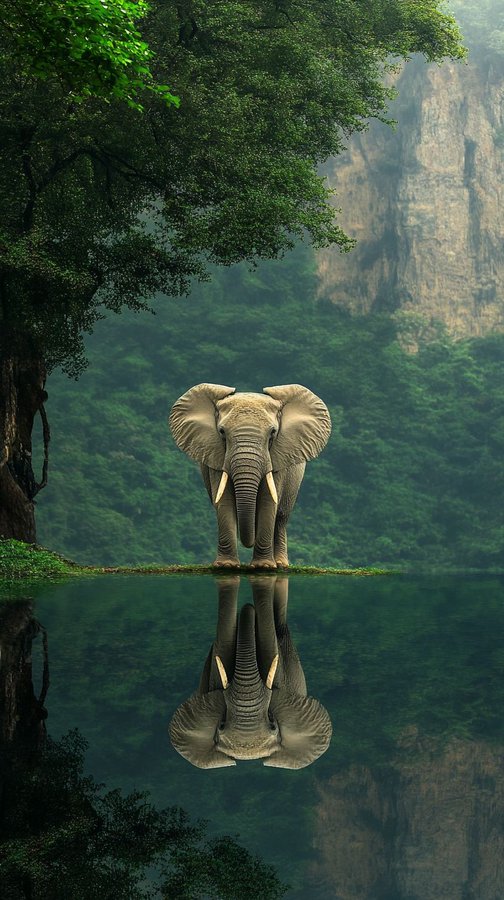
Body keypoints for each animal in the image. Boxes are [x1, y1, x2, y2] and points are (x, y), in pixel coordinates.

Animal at [169, 383, 331, 568]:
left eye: (273, 432)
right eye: (222, 432)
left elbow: (269, 499)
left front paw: (263, 566)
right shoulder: (215, 455)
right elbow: (224, 499)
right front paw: (226, 566)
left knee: (281, 517)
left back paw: (281, 564)